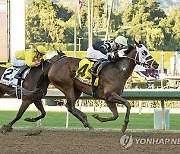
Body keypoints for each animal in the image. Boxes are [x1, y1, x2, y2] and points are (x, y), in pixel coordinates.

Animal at [24, 41, 159, 132]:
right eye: (144, 52)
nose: (156, 64)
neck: (118, 70)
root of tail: (53, 65)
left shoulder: (108, 99)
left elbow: (115, 115)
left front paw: (98, 117)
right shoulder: (110, 95)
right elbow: (128, 104)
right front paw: (124, 126)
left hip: (76, 89)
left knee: (69, 106)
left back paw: (85, 119)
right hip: (67, 86)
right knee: (71, 107)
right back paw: (87, 124)